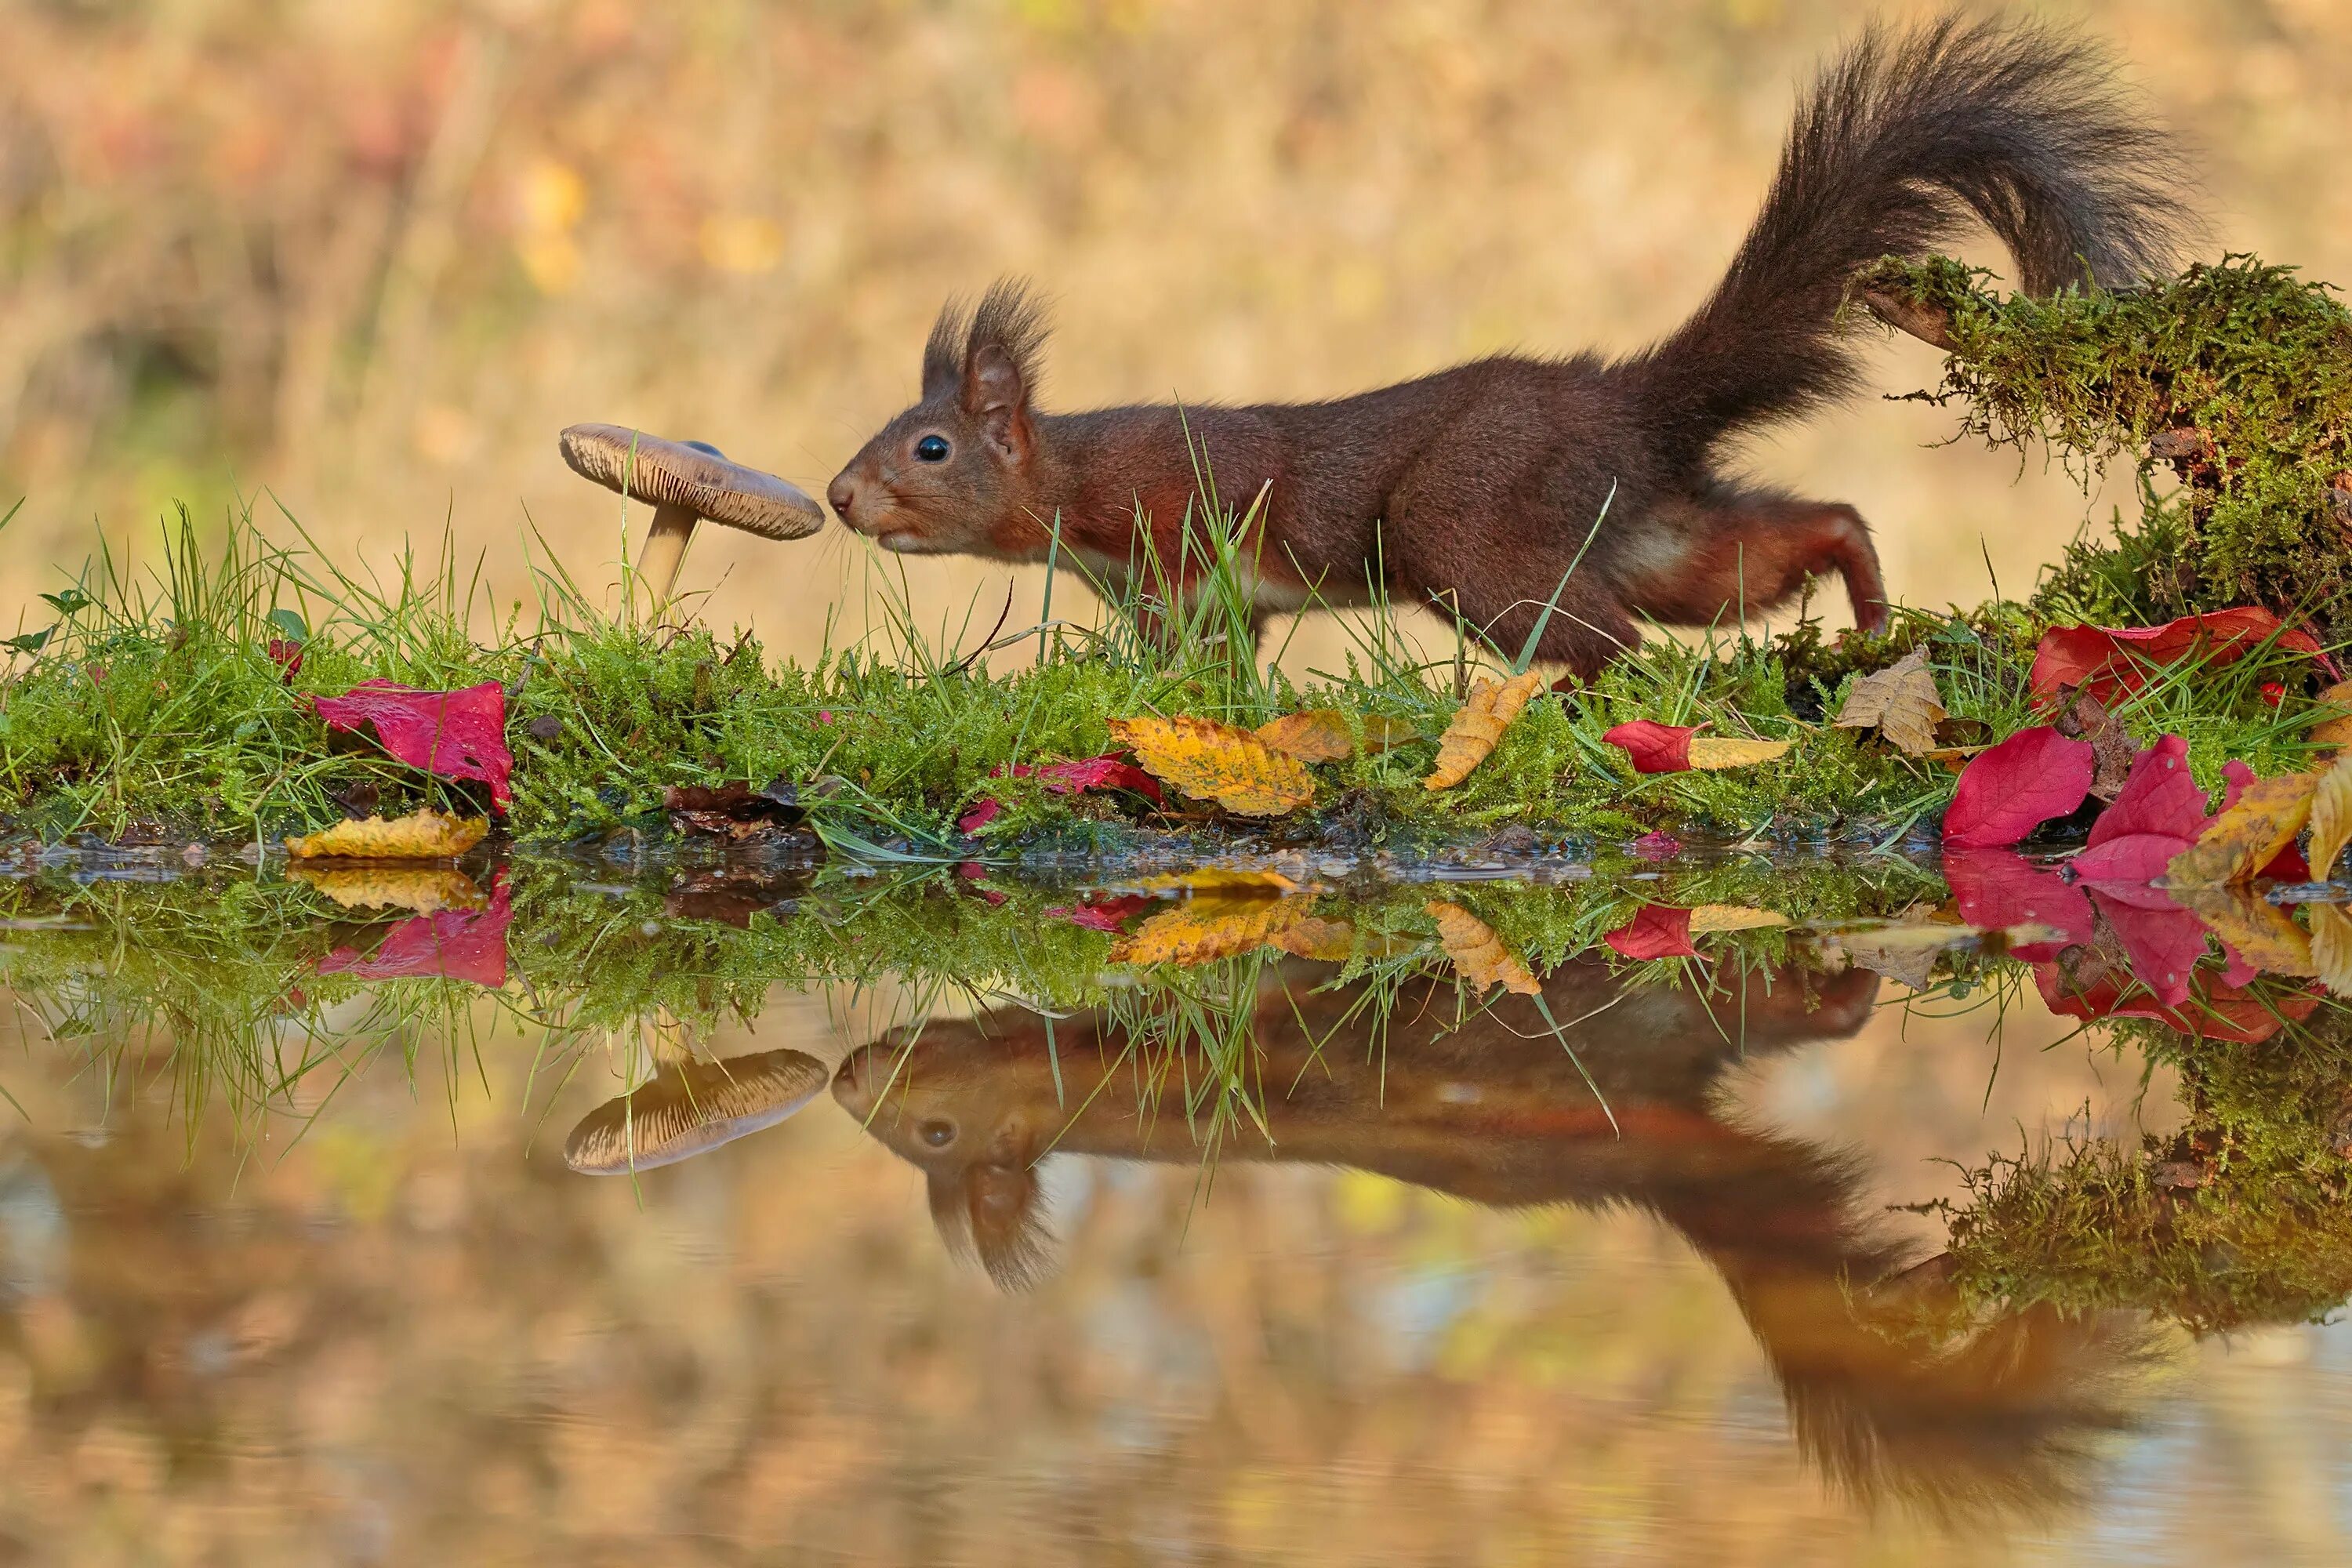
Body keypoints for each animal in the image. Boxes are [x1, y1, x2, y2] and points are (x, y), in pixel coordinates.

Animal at [828, 16, 2183, 681]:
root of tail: (1628, 405)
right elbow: (1219, 672)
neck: (1073, 484)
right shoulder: (1205, 597)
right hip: (1647, 531)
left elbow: (1171, 661)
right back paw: (1871, 616)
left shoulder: (1175, 532)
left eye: (930, 447)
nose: (842, 498)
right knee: (1785, 537)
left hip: (1471, 527)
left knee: (1615, 646)